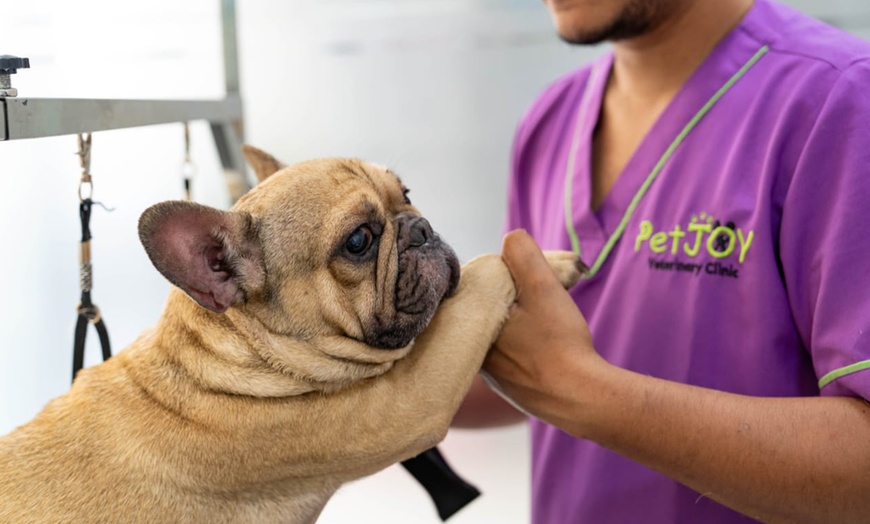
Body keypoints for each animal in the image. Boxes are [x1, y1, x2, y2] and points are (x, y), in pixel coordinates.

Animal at [1, 144, 584, 524]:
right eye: (358, 241)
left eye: (407, 193)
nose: (420, 228)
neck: (228, 354)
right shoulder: (409, 404)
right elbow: (485, 276)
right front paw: (542, 262)